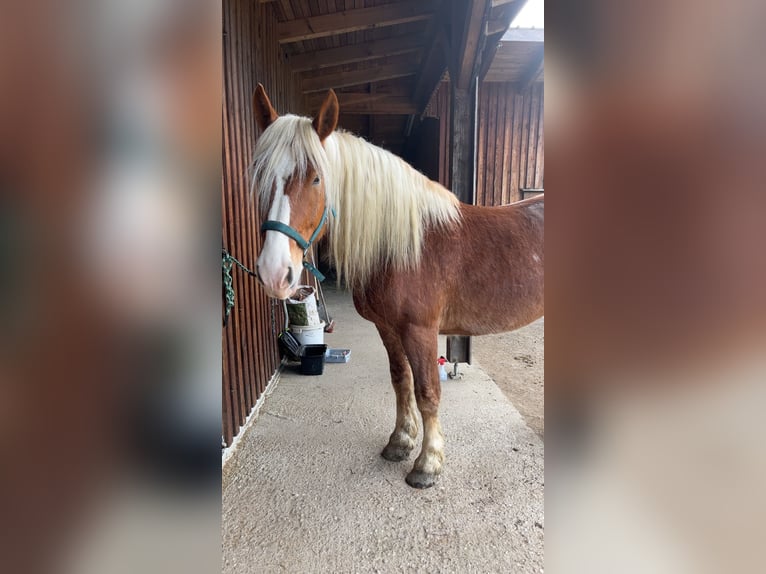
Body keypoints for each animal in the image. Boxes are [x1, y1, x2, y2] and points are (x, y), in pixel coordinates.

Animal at [250, 84, 544, 488]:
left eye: (316, 178)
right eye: (262, 175)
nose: (274, 272)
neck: (405, 246)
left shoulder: (420, 330)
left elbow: (427, 391)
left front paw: (427, 464)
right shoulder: (388, 328)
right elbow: (400, 381)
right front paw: (400, 442)